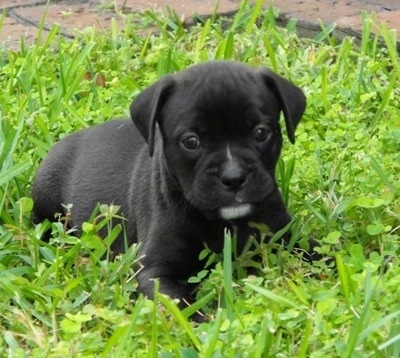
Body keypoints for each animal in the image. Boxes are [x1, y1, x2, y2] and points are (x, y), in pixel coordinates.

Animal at [32, 60, 316, 318]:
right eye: (191, 141)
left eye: (261, 133)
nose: (233, 177)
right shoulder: (155, 272)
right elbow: (182, 308)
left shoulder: (284, 234)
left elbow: (317, 250)